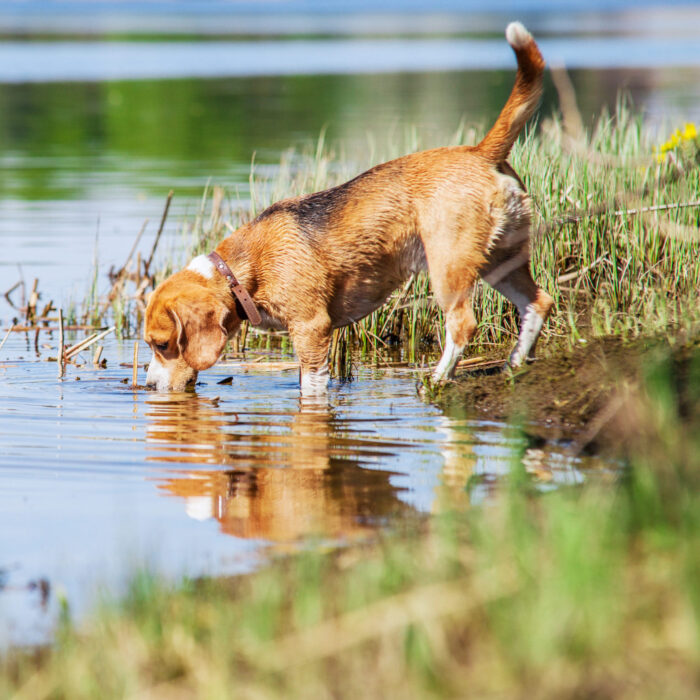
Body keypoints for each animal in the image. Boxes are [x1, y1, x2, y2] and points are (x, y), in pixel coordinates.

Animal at [146, 21, 552, 394]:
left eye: (162, 344)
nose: (148, 386)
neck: (240, 275)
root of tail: (480, 152)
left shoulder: (311, 329)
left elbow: (311, 386)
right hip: (501, 260)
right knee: (538, 303)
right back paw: (515, 363)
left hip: (449, 267)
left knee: (463, 324)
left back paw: (436, 379)